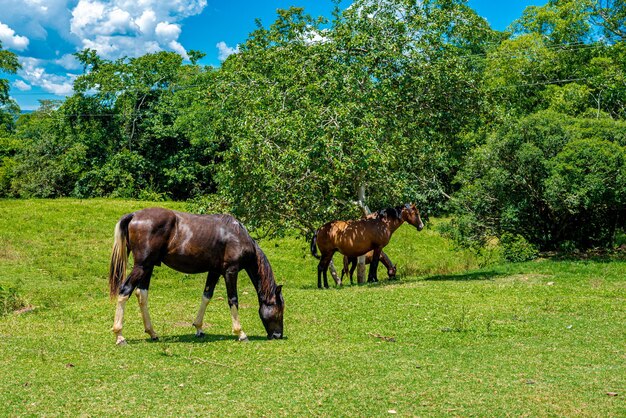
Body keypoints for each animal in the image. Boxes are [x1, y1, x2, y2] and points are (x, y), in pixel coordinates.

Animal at [109, 207, 282, 346]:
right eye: (280, 309)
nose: (278, 335)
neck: (236, 235)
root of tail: (134, 215)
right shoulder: (230, 272)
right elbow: (233, 300)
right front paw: (240, 333)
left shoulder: (214, 271)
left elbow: (206, 296)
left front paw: (198, 328)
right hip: (142, 266)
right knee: (125, 291)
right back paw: (120, 336)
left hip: (148, 267)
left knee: (141, 294)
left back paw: (152, 333)